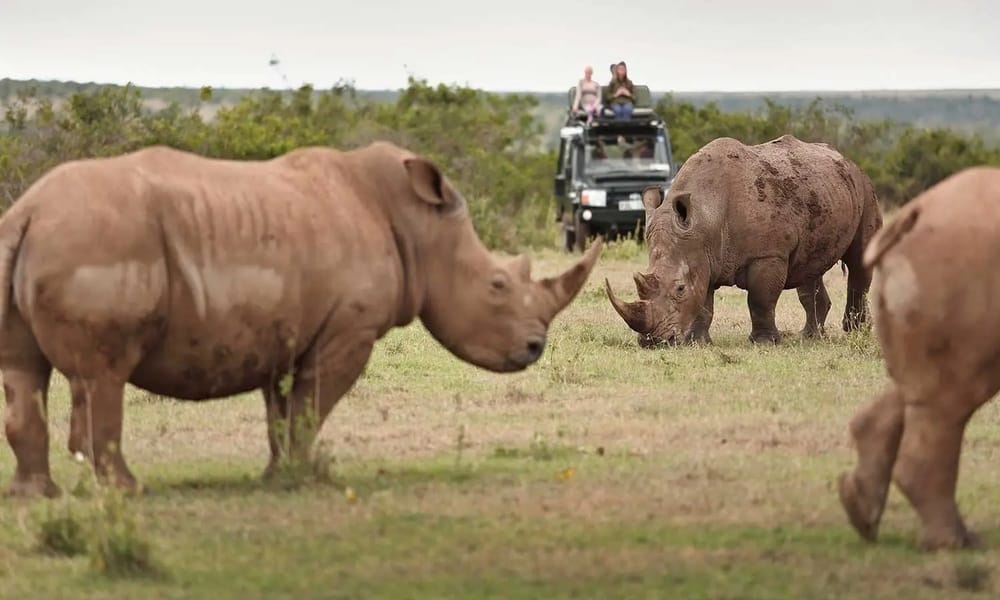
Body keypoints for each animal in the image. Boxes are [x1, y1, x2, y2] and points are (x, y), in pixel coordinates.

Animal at [0, 142, 602, 497]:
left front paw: (276, 475)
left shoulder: (280, 331)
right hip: (95, 241)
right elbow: (313, 405)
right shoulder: (348, 331)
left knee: (24, 372)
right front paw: (303, 476)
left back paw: (37, 496)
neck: (418, 226)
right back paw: (127, 490)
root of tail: (27, 211)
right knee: (103, 376)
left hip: (50, 239)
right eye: (498, 286)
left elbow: (282, 410)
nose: (534, 348)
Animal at [605, 134, 882, 346]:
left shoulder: (768, 255)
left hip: (865, 190)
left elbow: (759, 300)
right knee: (810, 269)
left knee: (858, 262)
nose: (653, 342)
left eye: (680, 289)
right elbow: (704, 303)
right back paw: (810, 337)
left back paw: (854, 332)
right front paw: (698, 342)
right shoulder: (703, 256)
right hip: (824, 194)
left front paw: (764, 343)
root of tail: (848, 160)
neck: (706, 215)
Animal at [838, 166, 1000, 550]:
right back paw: (954, 543)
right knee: (951, 395)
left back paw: (861, 515)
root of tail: (913, 215)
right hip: (956, 266)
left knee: (922, 387)